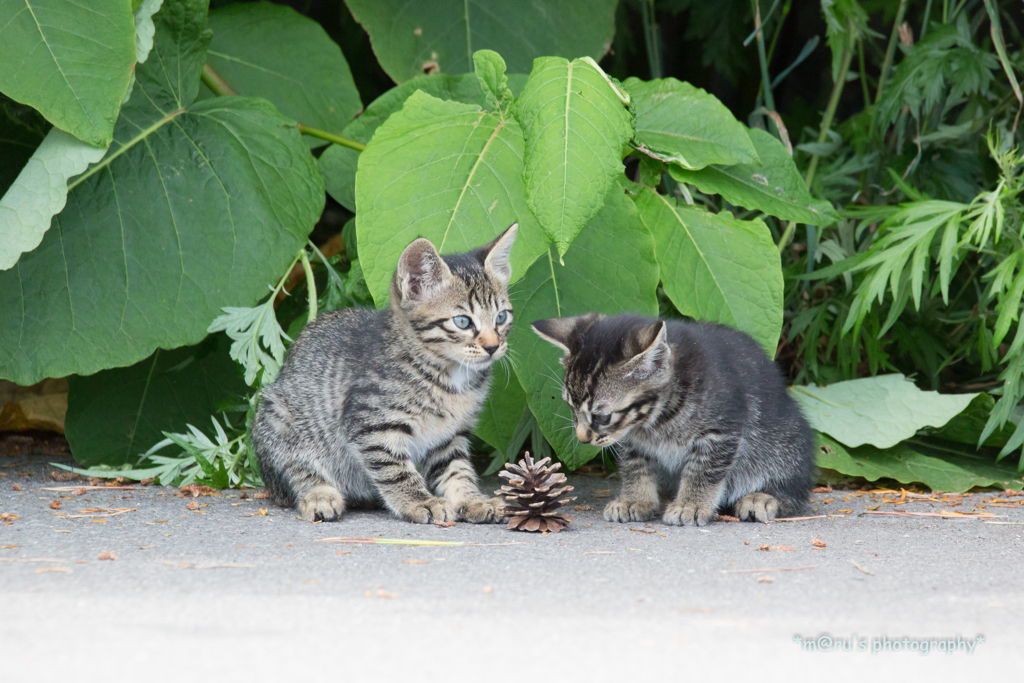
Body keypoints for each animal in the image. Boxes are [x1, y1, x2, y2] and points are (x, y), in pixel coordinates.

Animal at [248, 225, 520, 524]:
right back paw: (319, 496)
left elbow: (456, 469)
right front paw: (420, 501)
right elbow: (396, 470)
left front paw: (471, 500)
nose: (493, 346)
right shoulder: (371, 423)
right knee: (294, 470)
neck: (449, 376)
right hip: (278, 417)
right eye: (463, 322)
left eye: (501, 317)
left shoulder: (450, 435)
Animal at [532, 313, 811, 528]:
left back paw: (763, 497)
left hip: (785, 441)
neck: (657, 419)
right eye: (570, 407)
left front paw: (691, 504)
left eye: (602, 416)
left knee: (795, 487)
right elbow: (635, 466)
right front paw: (636, 499)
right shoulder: (631, 440)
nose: (582, 438)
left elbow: (703, 470)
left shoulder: (720, 432)